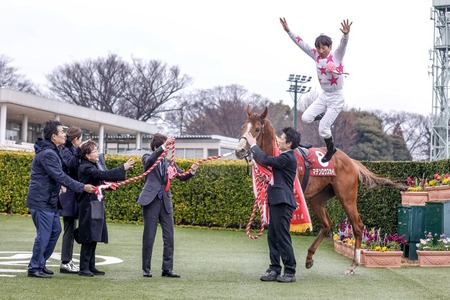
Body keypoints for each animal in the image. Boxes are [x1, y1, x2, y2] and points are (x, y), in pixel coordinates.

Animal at [236, 106, 400, 274]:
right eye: (242, 127)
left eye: (257, 129)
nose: (239, 150)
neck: (276, 155)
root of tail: (351, 161)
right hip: (317, 199)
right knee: (327, 224)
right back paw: (309, 257)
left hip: (347, 197)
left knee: (358, 226)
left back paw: (353, 264)